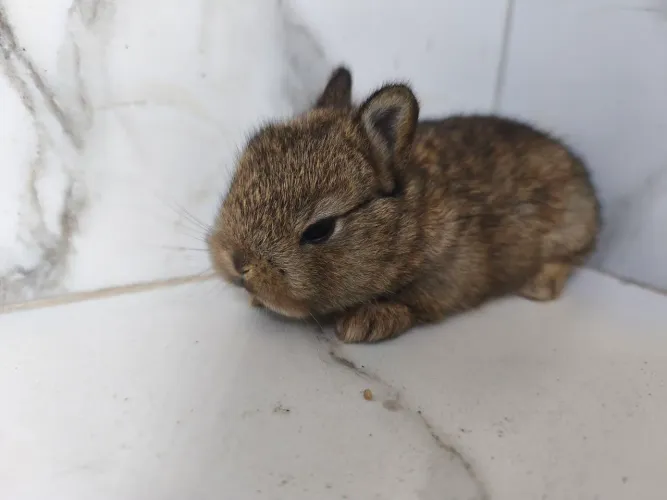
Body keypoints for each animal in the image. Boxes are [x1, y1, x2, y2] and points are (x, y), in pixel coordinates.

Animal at [207, 66, 601, 343]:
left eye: (320, 230)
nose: (238, 263)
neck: (404, 225)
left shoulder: (450, 274)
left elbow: (417, 302)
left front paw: (368, 322)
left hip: (573, 226)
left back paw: (538, 285)